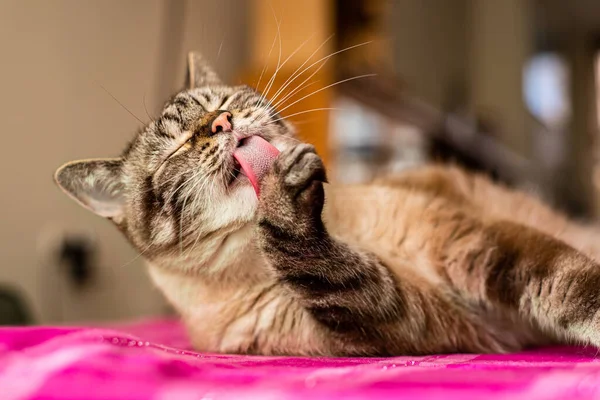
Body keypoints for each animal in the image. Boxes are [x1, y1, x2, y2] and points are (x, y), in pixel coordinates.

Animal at [55, 51, 600, 354]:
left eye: (224, 104)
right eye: (178, 148)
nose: (223, 124)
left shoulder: (470, 241)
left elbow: (573, 289)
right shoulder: (397, 319)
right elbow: (320, 262)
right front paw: (284, 204)